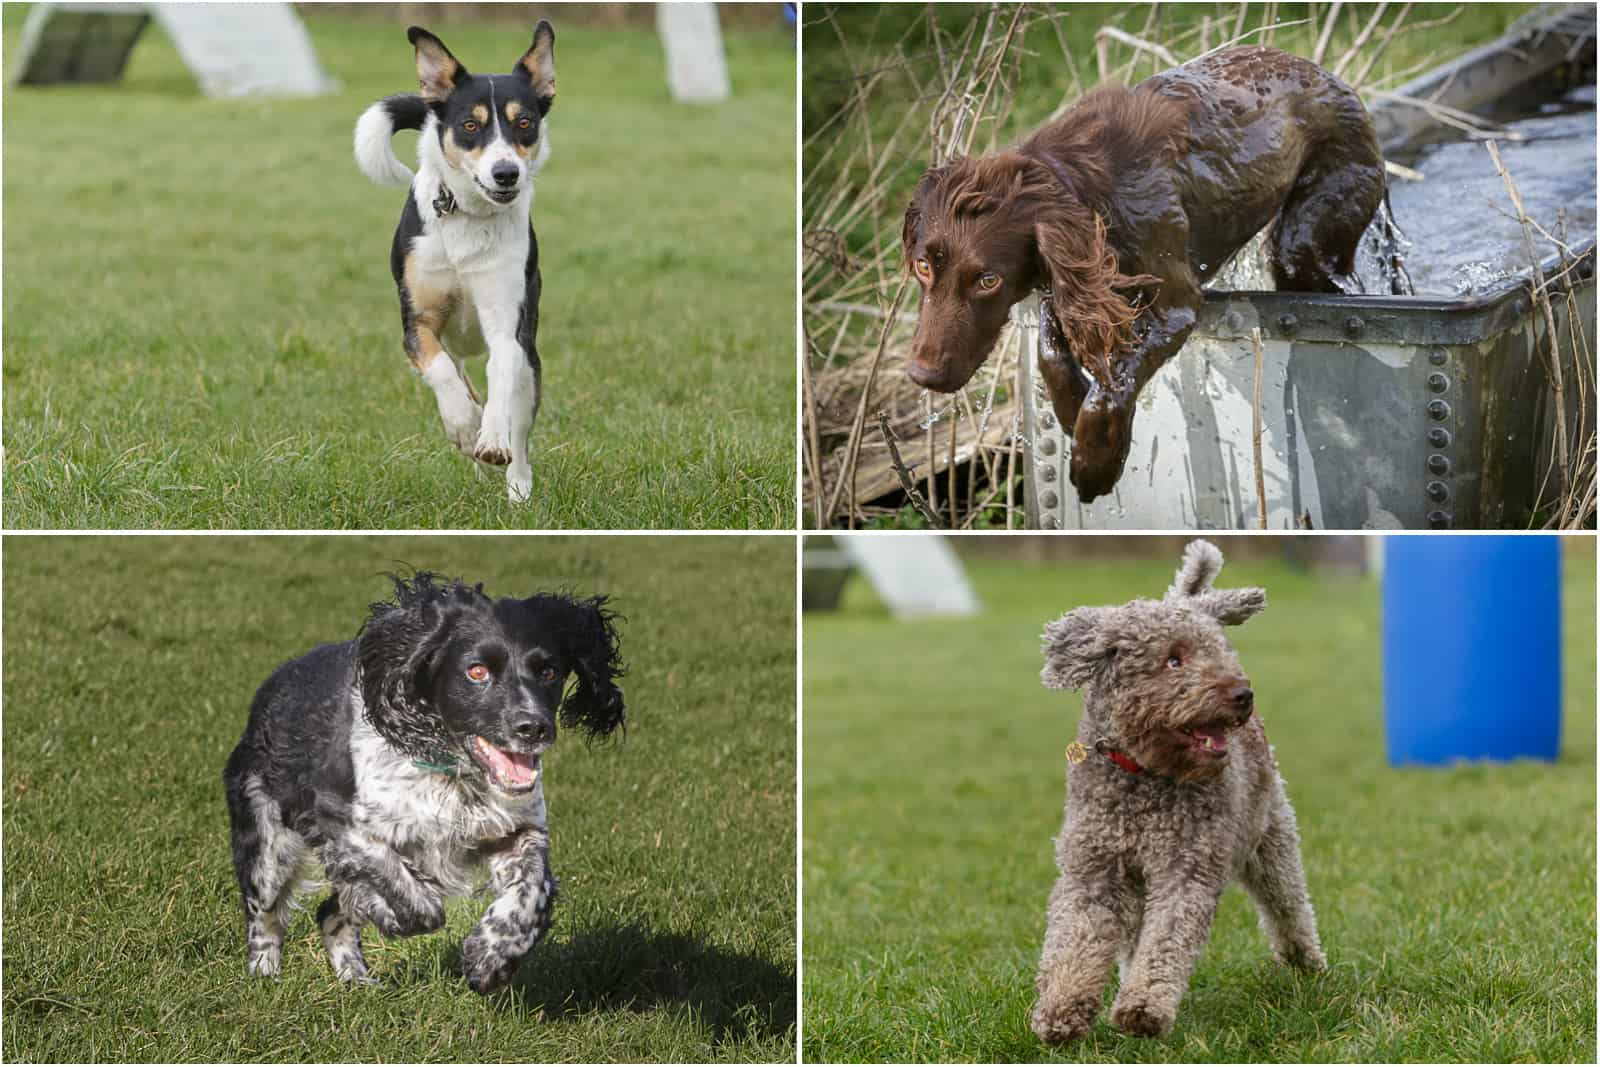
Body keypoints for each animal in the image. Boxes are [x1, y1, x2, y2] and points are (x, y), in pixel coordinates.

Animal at [222, 575, 620, 991]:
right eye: (477, 671)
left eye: (549, 672)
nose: (534, 727)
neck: (454, 775)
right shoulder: (339, 824)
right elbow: (415, 899)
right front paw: (390, 912)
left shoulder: (517, 829)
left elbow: (533, 889)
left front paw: (490, 958)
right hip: (267, 843)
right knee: (266, 916)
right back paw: (264, 975)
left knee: (329, 915)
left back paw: (356, 981)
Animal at [353, 23, 560, 505]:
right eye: (470, 125)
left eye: (525, 123)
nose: (506, 173)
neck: (469, 216)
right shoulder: (417, 323)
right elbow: (441, 373)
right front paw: (465, 429)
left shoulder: (508, 322)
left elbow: (501, 376)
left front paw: (490, 439)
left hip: (532, 364)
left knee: (520, 424)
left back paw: (516, 485)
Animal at [902, 47, 1388, 502]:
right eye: (924, 266)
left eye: (988, 281)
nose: (922, 375)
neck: (1090, 193)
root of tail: (1331, 77)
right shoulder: (1077, 282)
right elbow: (1051, 351)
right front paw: (1070, 410)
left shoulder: (1175, 306)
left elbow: (1116, 376)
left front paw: (1095, 461)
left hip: (1306, 236)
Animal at [1024, 543, 1324, 1043]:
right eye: (1173, 659)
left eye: (1219, 651)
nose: (1242, 693)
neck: (1145, 776)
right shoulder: (1095, 871)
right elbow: (1077, 939)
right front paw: (1061, 1011)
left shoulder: (1185, 870)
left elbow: (1166, 940)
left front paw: (1142, 1009)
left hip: (1271, 837)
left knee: (1288, 905)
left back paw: (1307, 962)